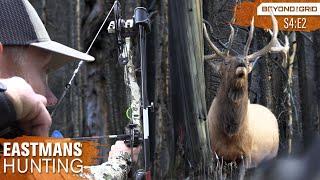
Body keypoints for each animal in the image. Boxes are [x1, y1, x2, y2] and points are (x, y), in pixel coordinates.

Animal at [205, 14, 290, 168]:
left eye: (246, 60)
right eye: (226, 62)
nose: (241, 62)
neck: (230, 134)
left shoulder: (246, 154)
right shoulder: (214, 153)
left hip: (272, 154)